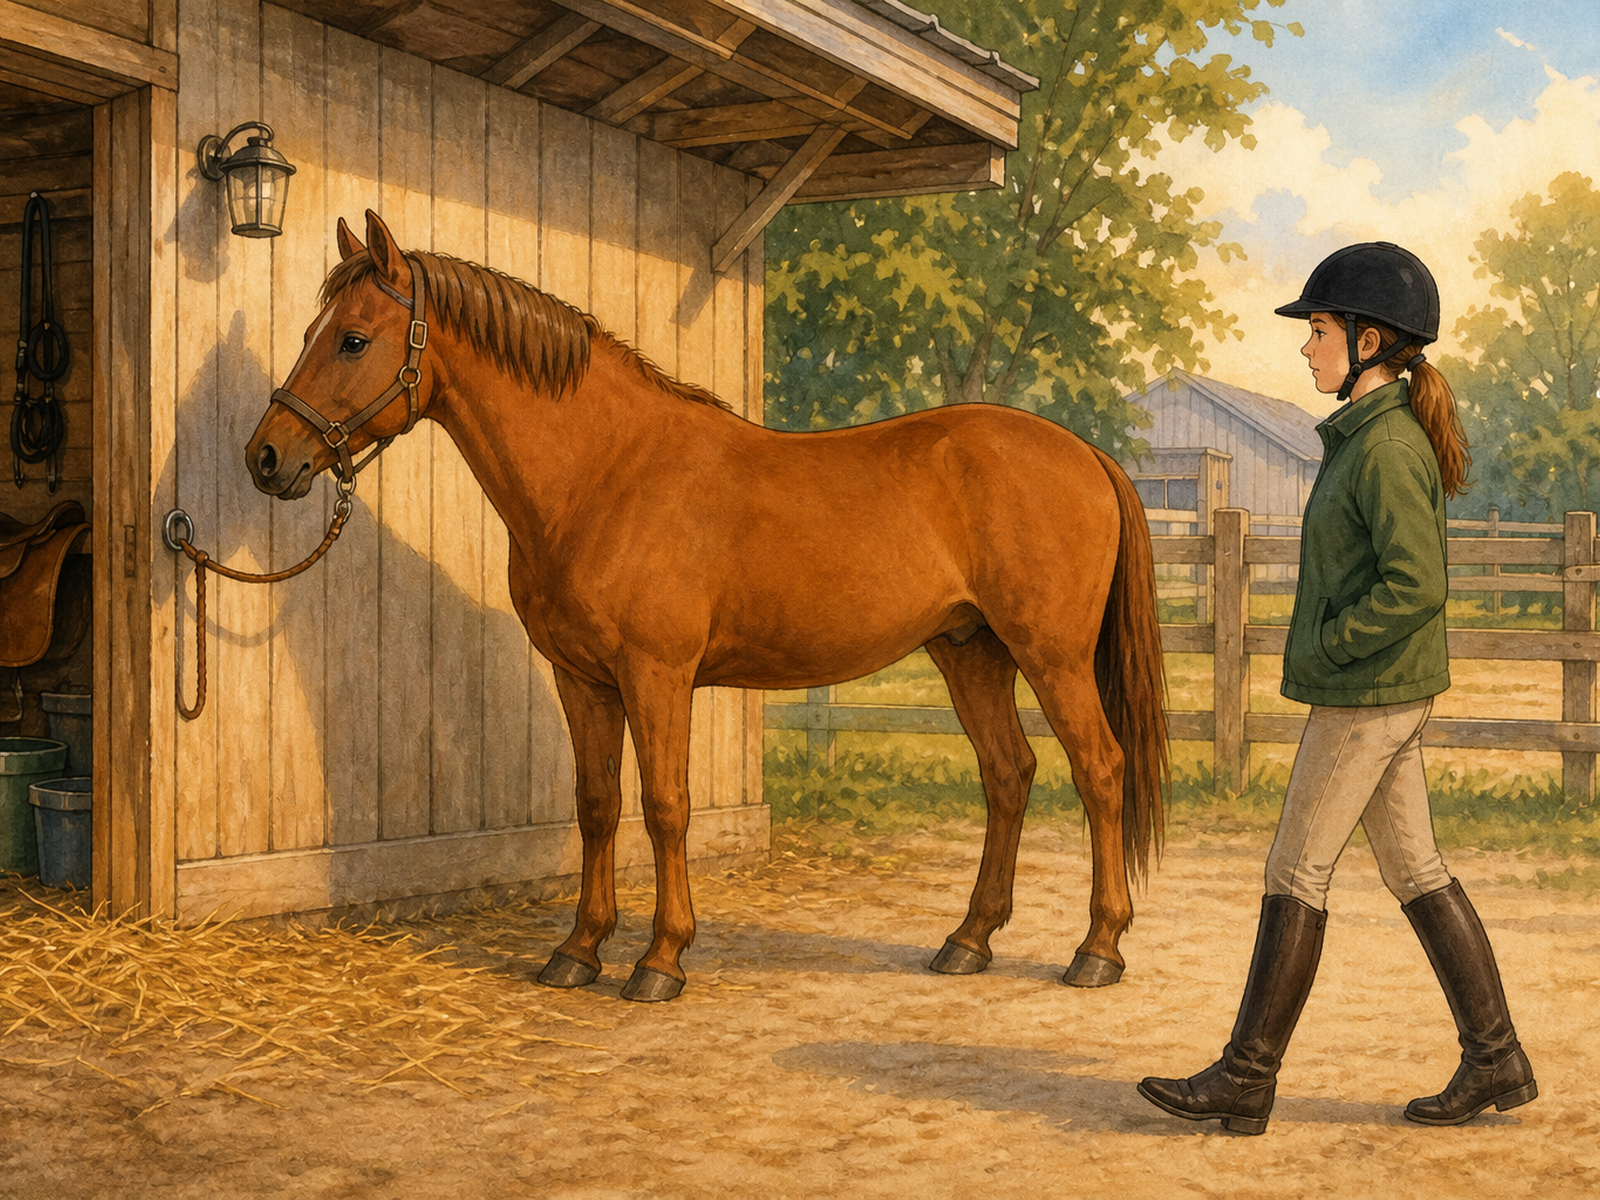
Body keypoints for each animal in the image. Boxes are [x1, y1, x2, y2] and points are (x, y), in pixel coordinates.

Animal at [246, 209, 1169, 1003]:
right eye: (313, 333)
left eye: (353, 339)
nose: (265, 457)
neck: (606, 472)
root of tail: (1086, 453)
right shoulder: (583, 680)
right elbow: (597, 806)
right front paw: (578, 951)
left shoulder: (656, 676)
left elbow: (666, 808)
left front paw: (661, 959)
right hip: (970, 650)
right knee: (1008, 775)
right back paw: (968, 941)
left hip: (1049, 656)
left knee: (1100, 770)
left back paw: (1097, 950)